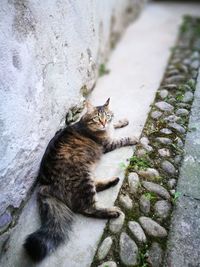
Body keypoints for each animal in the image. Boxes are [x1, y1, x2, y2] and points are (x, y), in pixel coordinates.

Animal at [23, 98, 138, 262]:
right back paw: (112, 211)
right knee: (88, 208)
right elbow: (122, 139)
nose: (103, 123)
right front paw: (132, 137)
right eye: (97, 118)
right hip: (83, 178)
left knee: (96, 187)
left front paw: (121, 121)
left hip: (86, 175)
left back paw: (113, 181)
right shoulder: (108, 144)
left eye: (106, 116)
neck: (86, 124)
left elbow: (115, 125)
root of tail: (44, 183)